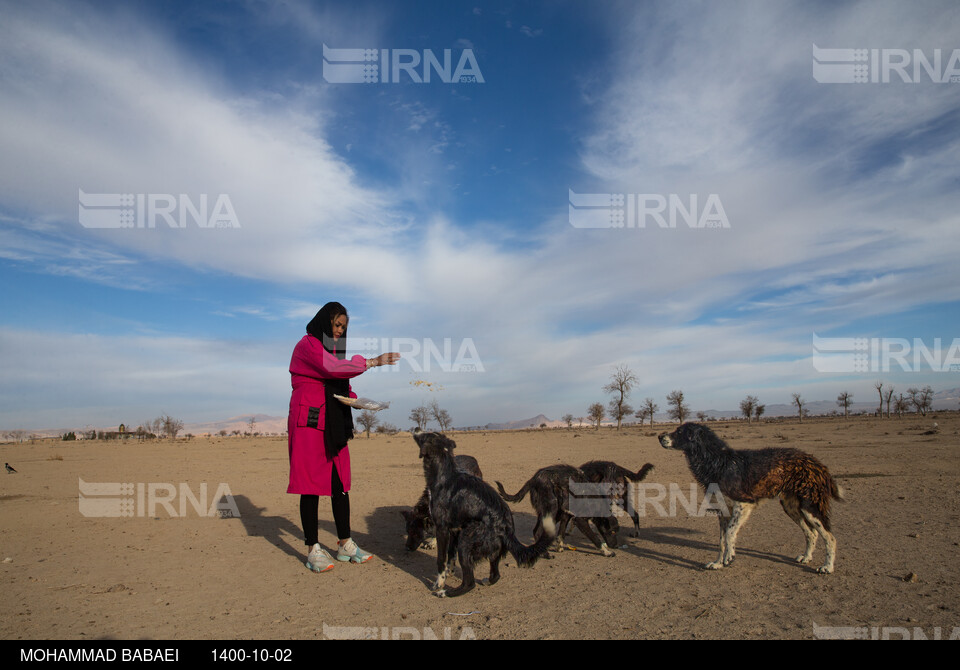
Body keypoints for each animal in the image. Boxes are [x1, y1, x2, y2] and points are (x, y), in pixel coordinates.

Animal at [412, 430, 556, 600]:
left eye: (424, 435)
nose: (416, 428)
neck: (445, 473)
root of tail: (507, 528)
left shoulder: (442, 529)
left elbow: (441, 559)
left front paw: (439, 583)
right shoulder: (455, 529)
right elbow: (450, 557)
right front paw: (449, 572)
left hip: (466, 542)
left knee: (469, 583)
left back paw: (445, 593)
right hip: (490, 549)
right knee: (495, 575)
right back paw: (487, 581)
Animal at [656, 422, 844, 576]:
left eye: (680, 432)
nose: (659, 436)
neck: (719, 462)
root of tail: (818, 464)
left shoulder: (743, 505)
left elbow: (730, 533)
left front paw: (730, 557)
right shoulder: (723, 512)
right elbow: (721, 541)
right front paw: (718, 563)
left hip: (810, 506)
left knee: (830, 537)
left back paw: (827, 567)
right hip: (791, 507)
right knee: (811, 533)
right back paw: (806, 557)